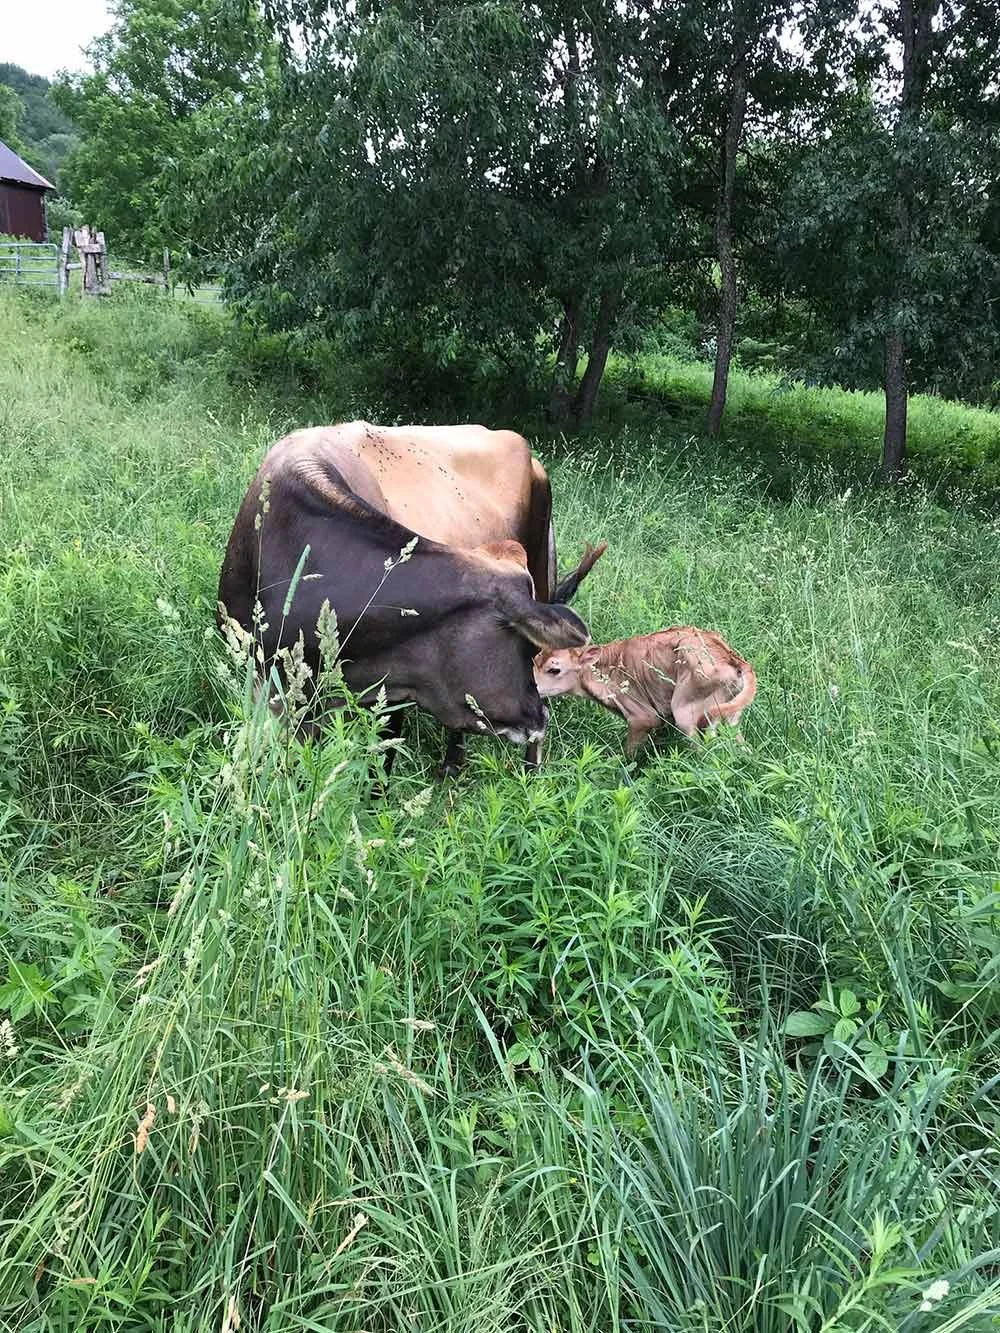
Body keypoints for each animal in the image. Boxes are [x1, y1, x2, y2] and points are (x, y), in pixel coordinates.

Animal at [534, 626, 758, 756]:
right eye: (535, 660)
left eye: (554, 669)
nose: (531, 687)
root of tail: (734, 660)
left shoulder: (642, 718)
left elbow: (628, 756)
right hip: (730, 716)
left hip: (688, 714)